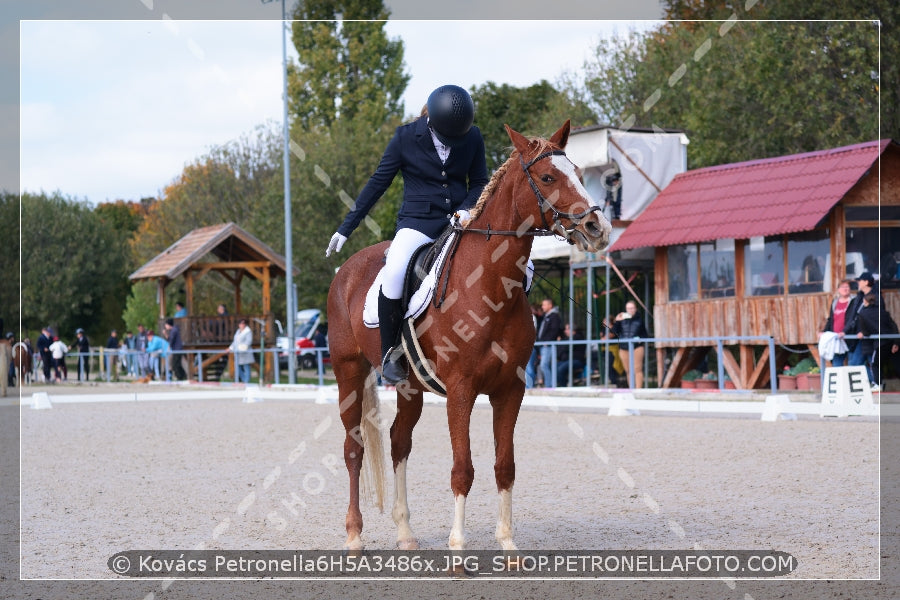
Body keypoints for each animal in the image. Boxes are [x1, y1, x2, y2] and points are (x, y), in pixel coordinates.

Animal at [326, 119, 612, 552]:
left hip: (409, 387)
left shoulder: (510, 389)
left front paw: (507, 544)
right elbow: (462, 468)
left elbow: (504, 465)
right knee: (354, 447)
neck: (489, 284)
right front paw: (458, 546)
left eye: (579, 173)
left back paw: (405, 533)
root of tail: (346, 270)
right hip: (348, 372)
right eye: (548, 177)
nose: (597, 228)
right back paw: (355, 535)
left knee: (398, 442)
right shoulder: (461, 390)